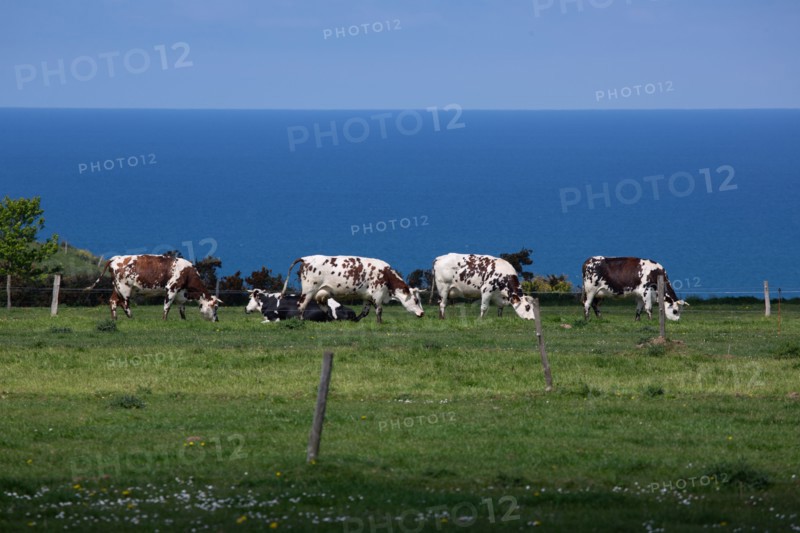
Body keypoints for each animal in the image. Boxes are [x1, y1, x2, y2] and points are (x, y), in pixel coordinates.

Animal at [87, 254, 222, 321]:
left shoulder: (181, 294)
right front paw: (164, 320)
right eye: (215, 307)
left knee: (113, 301)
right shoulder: (171, 289)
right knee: (124, 303)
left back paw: (115, 319)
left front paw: (184, 320)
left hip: (117, 287)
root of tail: (117, 257)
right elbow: (167, 306)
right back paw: (131, 318)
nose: (217, 320)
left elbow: (182, 308)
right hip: (124, 287)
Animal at [281, 255, 424, 323]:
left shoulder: (367, 296)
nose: (422, 313)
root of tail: (306, 258)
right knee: (301, 304)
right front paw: (379, 323)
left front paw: (354, 320)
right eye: (416, 300)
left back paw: (333, 320)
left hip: (321, 292)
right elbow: (379, 310)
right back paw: (301, 320)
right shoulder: (377, 294)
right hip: (309, 290)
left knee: (324, 307)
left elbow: (365, 312)